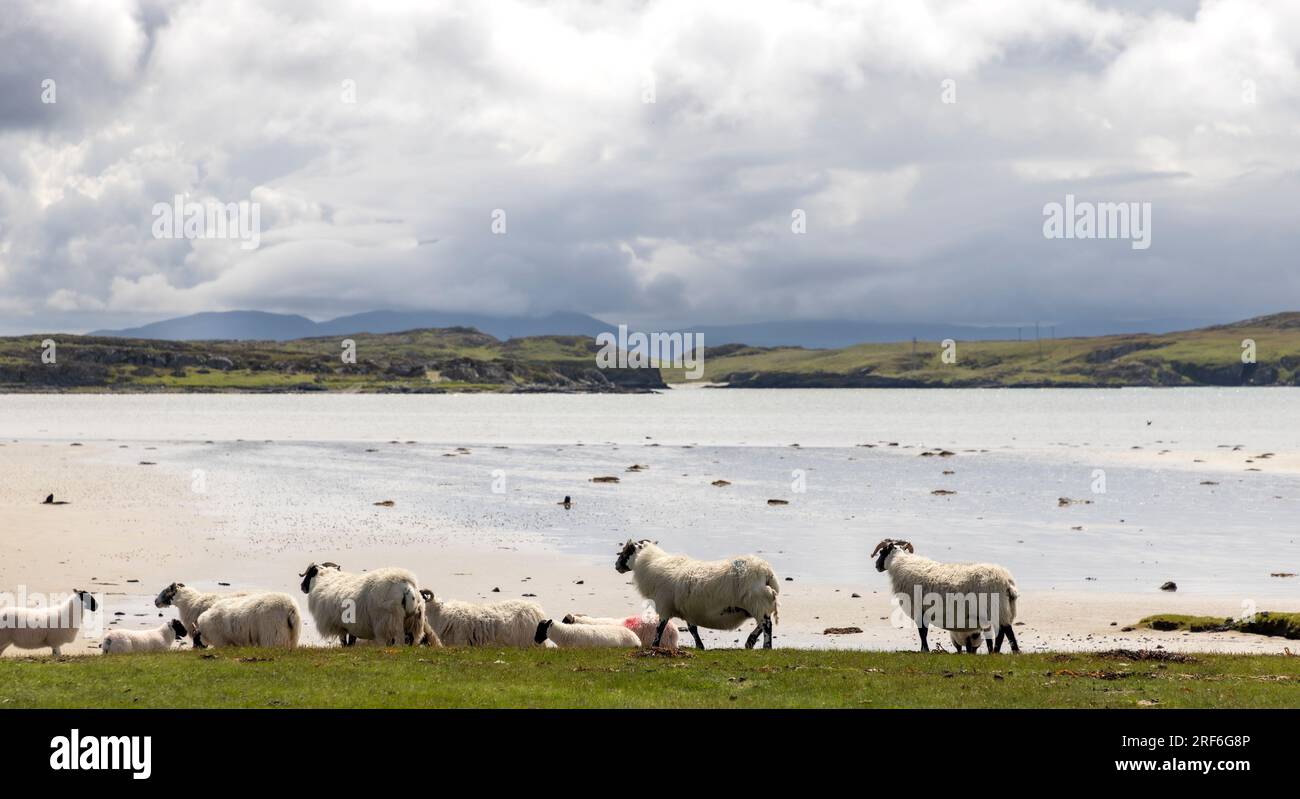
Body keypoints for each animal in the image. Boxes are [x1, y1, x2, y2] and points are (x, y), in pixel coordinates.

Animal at [611, 537, 774, 649]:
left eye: (626, 550)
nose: (616, 565)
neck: (650, 563)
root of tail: (766, 572)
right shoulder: (687, 608)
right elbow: (692, 629)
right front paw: (700, 646)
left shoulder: (665, 605)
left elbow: (660, 627)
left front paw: (654, 645)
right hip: (758, 604)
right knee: (762, 623)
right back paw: (750, 642)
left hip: (756, 601)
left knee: (766, 624)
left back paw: (766, 646)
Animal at [868, 540, 1019, 652]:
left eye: (881, 552)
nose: (876, 566)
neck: (900, 563)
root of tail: (1007, 581)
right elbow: (923, 632)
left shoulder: (918, 609)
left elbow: (922, 632)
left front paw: (925, 650)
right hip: (1003, 609)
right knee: (1002, 632)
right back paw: (996, 652)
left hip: (996, 607)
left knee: (1006, 631)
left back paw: (1011, 651)